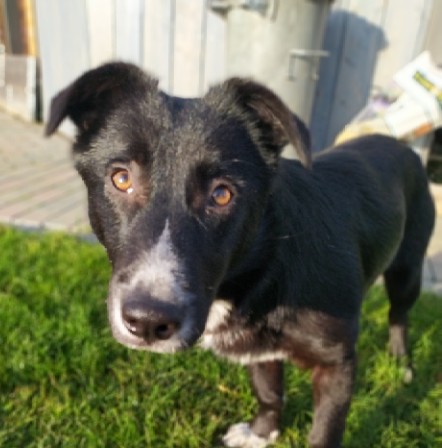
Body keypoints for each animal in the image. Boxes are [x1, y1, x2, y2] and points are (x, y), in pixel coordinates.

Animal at [46, 62, 435, 448]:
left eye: (222, 194)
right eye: (121, 178)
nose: (147, 323)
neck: (268, 261)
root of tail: (399, 144)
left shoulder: (336, 365)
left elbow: (324, 433)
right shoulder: (258, 349)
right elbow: (269, 389)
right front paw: (262, 432)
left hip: (408, 270)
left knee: (399, 314)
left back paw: (401, 361)